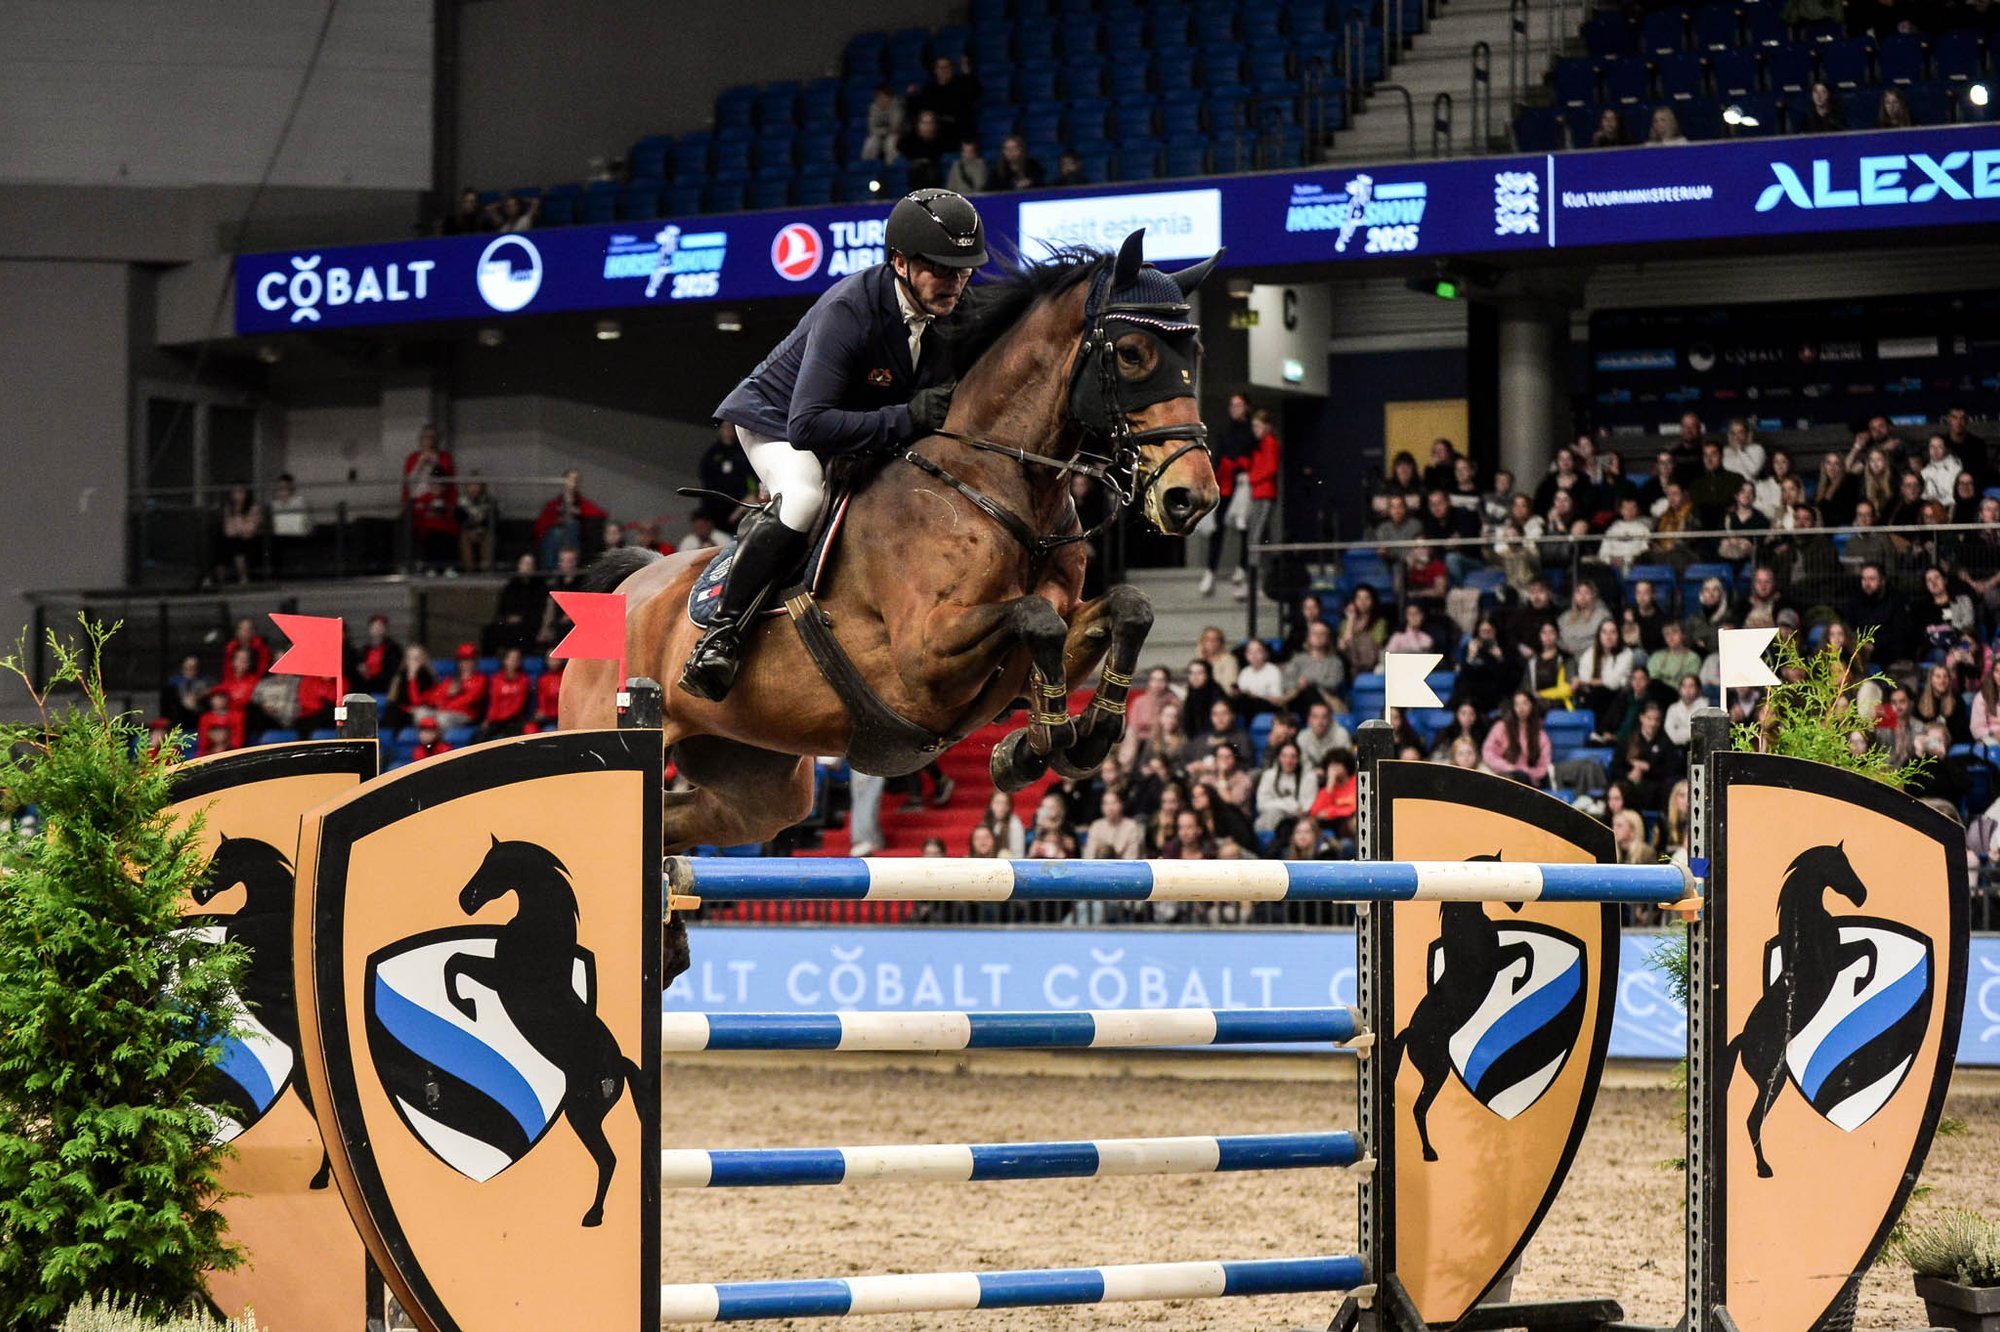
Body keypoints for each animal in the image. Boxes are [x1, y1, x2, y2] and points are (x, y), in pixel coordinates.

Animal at [443, 836, 640, 1227]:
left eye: (494, 866)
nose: (465, 900)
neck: (540, 933)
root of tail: (620, 1065)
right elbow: (455, 960)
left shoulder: (498, 978)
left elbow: (455, 962)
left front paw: (466, 1007)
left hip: (582, 1115)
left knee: (608, 1159)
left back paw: (592, 1216)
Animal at [559, 229, 1222, 854]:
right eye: (1132, 354)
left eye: (1194, 352)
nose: (1192, 497)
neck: (996, 483)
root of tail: (632, 584)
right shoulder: (923, 658)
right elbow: (1036, 617)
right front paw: (1044, 741)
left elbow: (1125, 608)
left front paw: (1062, 740)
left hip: (756, 782)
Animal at [1390, 857, 1531, 1163]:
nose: (1519, 904)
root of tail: (1409, 1033)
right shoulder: (1495, 961)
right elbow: (1526, 949)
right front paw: (1519, 983)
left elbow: (1525, 948)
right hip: (1438, 1070)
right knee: (1419, 1108)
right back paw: (1430, 1153)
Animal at [1722, 842, 1873, 1179]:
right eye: (1840, 864)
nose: (1862, 895)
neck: (1806, 925)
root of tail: (1742, 1041)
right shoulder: (1836, 962)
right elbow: (1869, 947)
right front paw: (1861, 984)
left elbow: (1869, 944)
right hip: (1772, 1080)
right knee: (1754, 1119)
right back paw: (1764, 1169)